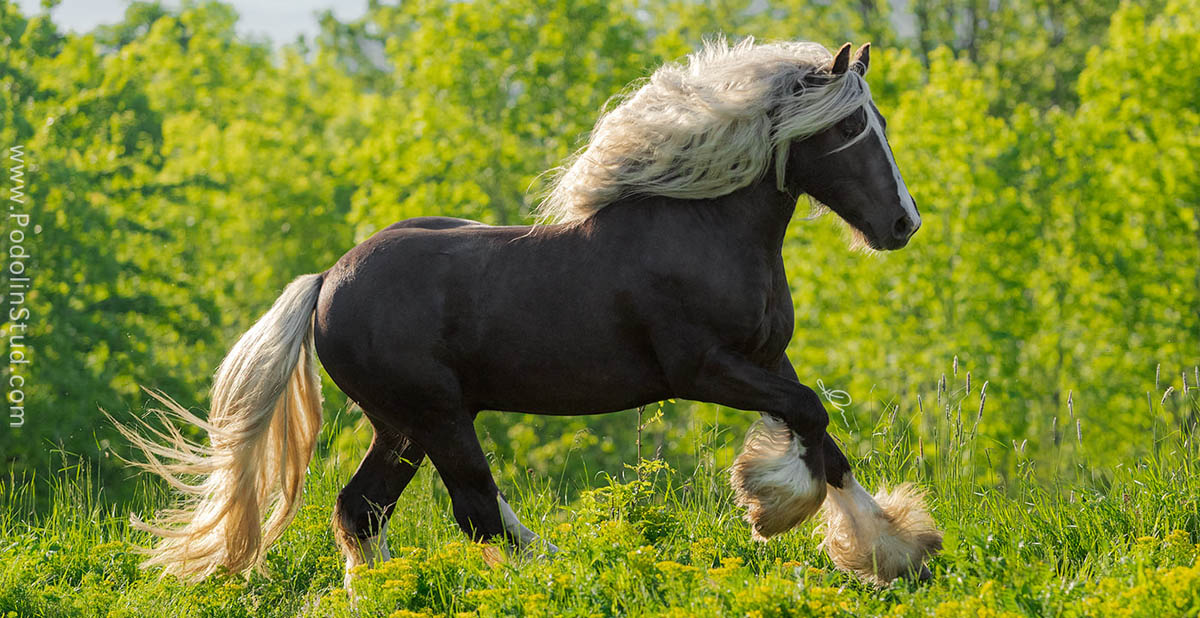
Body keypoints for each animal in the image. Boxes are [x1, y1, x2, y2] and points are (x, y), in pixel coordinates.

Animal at [119, 38, 945, 590]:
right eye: (850, 129)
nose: (902, 225)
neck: (703, 226)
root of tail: (326, 281)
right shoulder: (704, 369)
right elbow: (810, 415)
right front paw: (775, 511)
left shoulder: (768, 359)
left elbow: (823, 437)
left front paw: (888, 551)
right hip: (437, 416)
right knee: (476, 509)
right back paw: (560, 572)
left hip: (400, 426)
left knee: (362, 511)